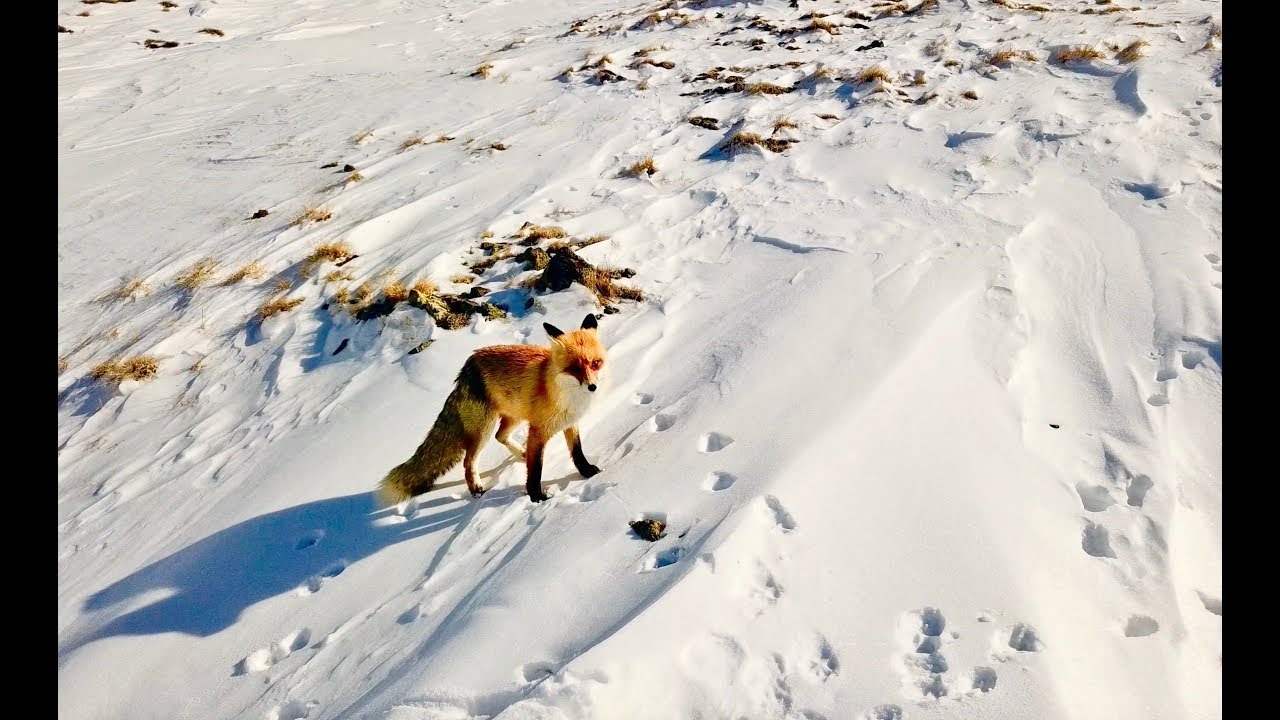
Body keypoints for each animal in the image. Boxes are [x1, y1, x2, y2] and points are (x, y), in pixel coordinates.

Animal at [379, 313, 607, 505]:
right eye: (575, 369)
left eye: (595, 363)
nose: (593, 387)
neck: (564, 396)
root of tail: (466, 368)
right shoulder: (537, 431)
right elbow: (535, 470)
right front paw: (536, 497)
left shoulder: (570, 423)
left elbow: (577, 452)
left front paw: (587, 472)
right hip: (484, 429)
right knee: (469, 461)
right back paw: (476, 489)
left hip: (514, 417)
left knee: (501, 436)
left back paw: (521, 454)